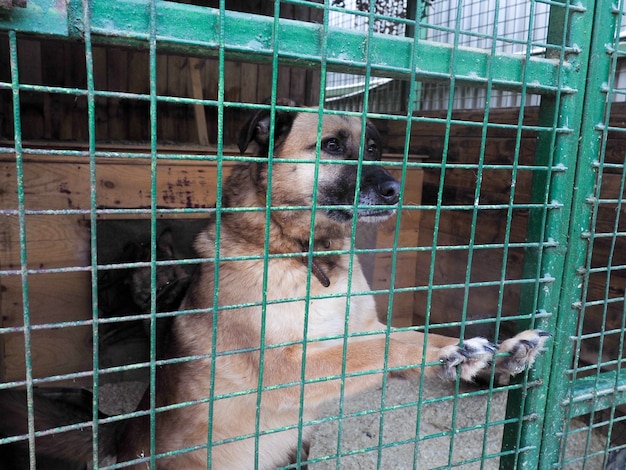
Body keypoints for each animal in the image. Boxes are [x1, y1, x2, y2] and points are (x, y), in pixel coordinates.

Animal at [0, 103, 544, 470]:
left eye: (372, 148)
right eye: (331, 146)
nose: (394, 190)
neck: (307, 256)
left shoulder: (360, 326)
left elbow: (402, 338)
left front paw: (493, 353)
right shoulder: (287, 367)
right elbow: (376, 349)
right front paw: (456, 352)